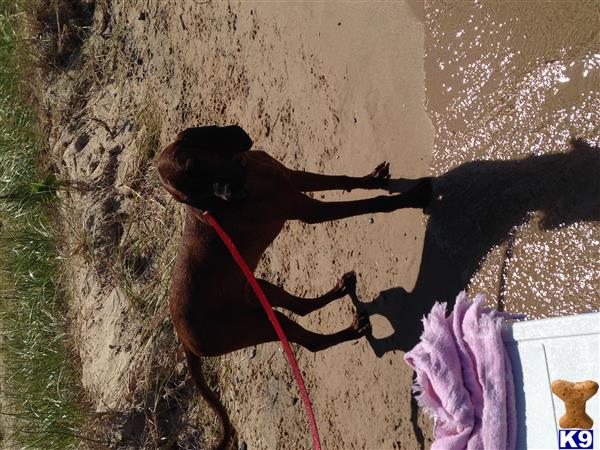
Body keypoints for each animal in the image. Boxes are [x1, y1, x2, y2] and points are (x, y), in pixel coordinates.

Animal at [157, 125, 434, 448]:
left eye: (194, 165)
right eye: (193, 194)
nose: (232, 195)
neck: (248, 172)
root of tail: (183, 339)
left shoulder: (293, 177)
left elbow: (342, 180)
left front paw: (372, 179)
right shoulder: (310, 210)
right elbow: (371, 204)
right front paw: (413, 197)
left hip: (258, 290)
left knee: (300, 307)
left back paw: (341, 290)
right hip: (258, 324)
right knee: (311, 342)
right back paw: (352, 330)